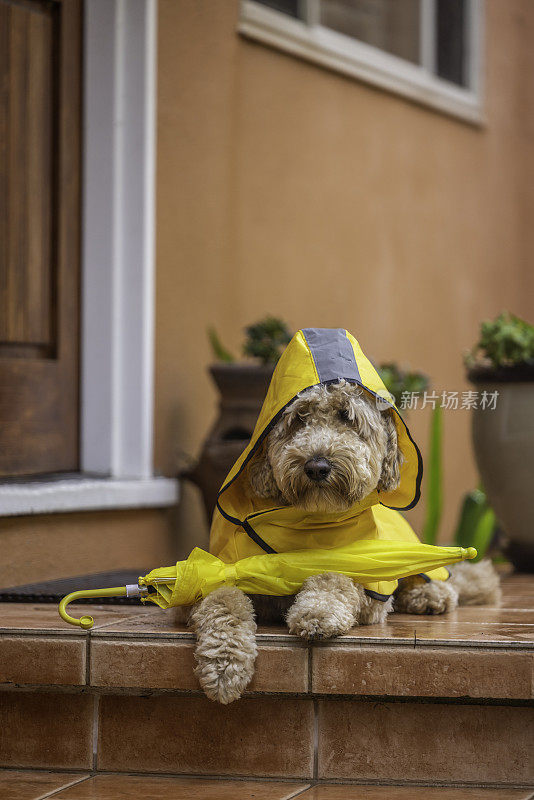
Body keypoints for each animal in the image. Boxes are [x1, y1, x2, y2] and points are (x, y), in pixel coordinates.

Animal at [185, 328, 502, 704]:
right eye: (299, 418)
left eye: (347, 416)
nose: (317, 466)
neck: (310, 520)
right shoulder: (217, 573)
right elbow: (222, 600)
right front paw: (223, 665)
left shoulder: (368, 590)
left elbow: (336, 576)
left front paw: (316, 612)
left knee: (432, 578)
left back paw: (429, 596)